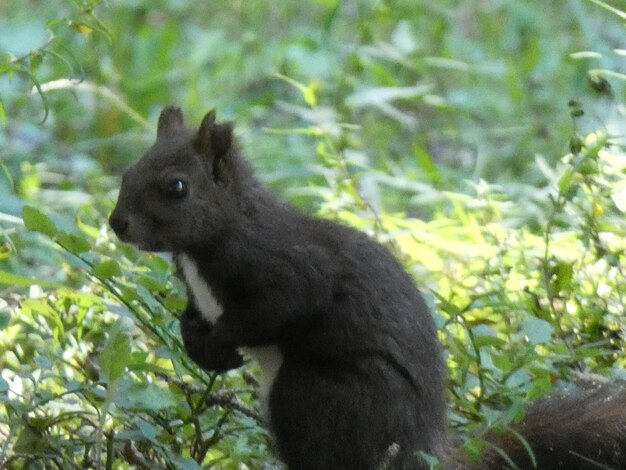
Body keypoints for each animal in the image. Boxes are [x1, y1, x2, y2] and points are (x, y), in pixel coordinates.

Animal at [109, 107, 624, 470]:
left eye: (177, 187)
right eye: (127, 171)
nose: (117, 224)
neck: (208, 242)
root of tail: (423, 453)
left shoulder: (285, 266)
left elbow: (278, 307)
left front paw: (221, 344)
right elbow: (192, 316)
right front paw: (200, 346)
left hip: (319, 397)